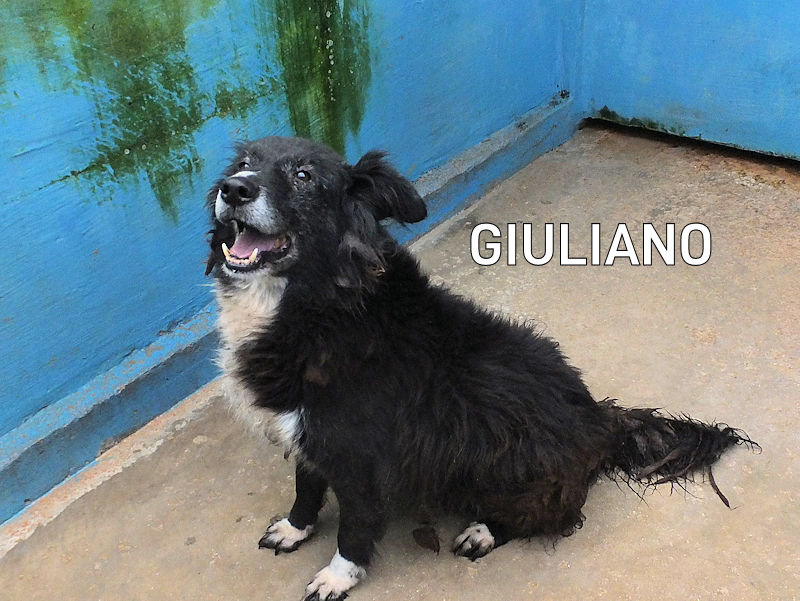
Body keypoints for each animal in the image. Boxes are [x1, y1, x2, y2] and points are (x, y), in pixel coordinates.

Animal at [205, 136, 754, 601]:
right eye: (243, 163)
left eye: (304, 176)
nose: (234, 189)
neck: (322, 303)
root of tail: (602, 420)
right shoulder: (307, 431)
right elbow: (306, 487)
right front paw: (294, 529)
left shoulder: (361, 456)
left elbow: (355, 527)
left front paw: (339, 576)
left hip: (517, 465)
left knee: (553, 516)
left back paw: (484, 532)